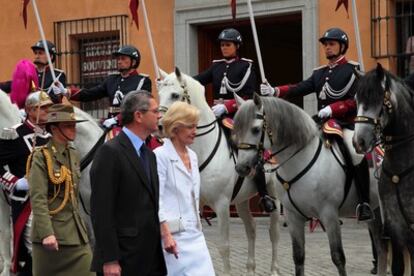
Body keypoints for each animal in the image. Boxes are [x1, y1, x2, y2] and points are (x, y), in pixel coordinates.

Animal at [157, 68, 280, 276]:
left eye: (174, 95)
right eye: (158, 94)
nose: (159, 126)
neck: (202, 149)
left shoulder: (222, 205)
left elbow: (223, 246)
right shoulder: (197, 206)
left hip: (274, 196)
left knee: (273, 233)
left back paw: (274, 270)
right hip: (241, 200)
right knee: (251, 228)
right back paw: (250, 268)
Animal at [231, 94, 386, 274]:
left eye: (255, 129)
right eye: (236, 130)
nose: (241, 168)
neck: (300, 159)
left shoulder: (329, 215)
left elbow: (338, 257)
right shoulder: (293, 217)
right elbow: (298, 257)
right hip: (375, 209)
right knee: (381, 247)